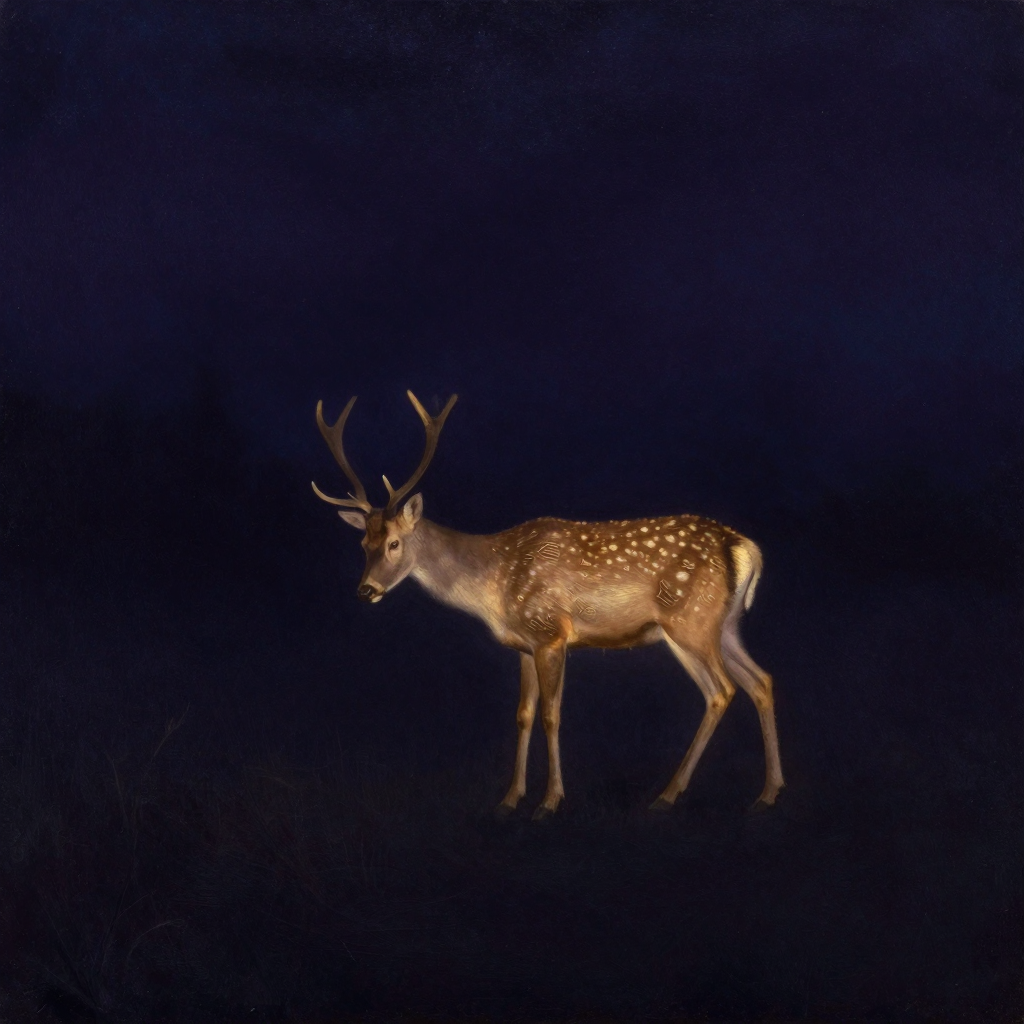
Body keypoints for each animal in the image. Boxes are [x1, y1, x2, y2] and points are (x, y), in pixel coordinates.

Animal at [312, 391, 784, 820]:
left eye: (394, 543)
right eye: (363, 543)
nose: (366, 590)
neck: (494, 586)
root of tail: (745, 547)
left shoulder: (550, 632)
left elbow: (551, 716)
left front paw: (550, 801)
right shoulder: (523, 644)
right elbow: (522, 714)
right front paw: (509, 799)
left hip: (690, 622)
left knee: (722, 690)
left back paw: (668, 795)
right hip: (722, 626)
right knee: (761, 680)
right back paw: (767, 793)